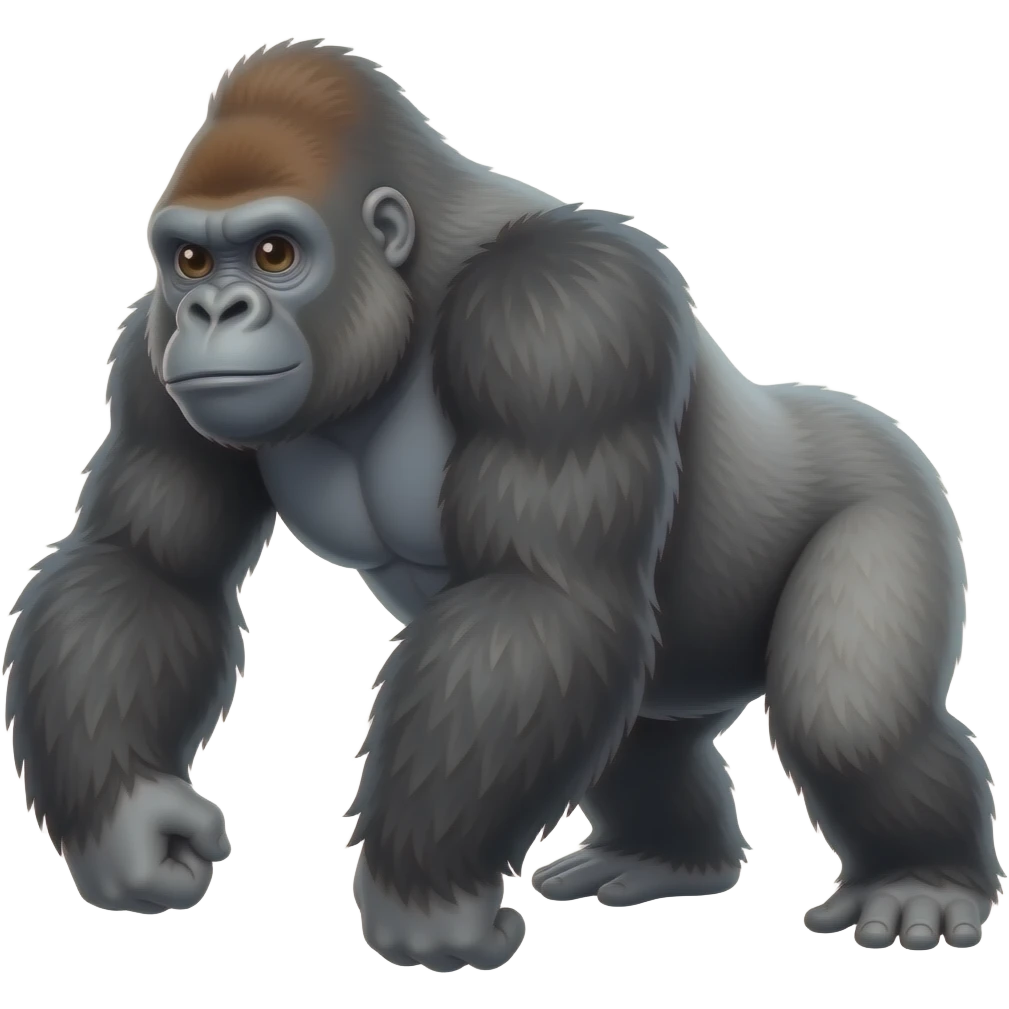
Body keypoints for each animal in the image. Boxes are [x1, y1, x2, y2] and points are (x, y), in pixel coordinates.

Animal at [2, 38, 1000, 966]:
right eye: (192, 259)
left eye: (276, 252)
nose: (215, 313)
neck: (410, 278)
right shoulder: (151, 352)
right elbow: (147, 565)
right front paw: (132, 821)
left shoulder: (563, 314)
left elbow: (537, 591)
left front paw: (423, 895)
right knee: (637, 737)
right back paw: (667, 856)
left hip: (889, 484)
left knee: (849, 724)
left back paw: (923, 877)